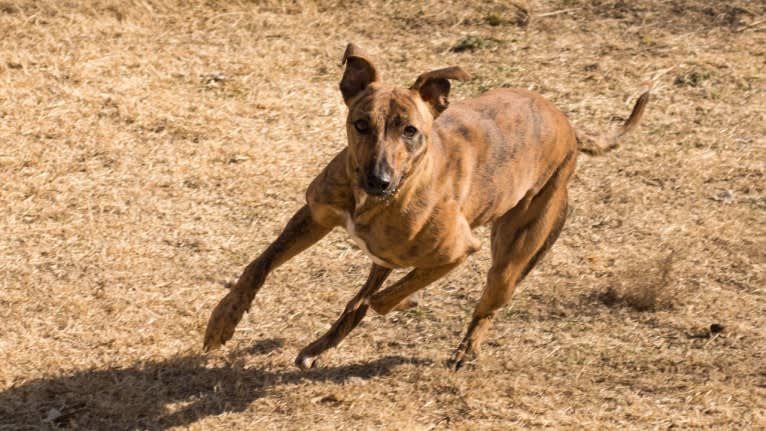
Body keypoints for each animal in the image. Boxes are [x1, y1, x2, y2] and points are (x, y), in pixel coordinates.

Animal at [202, 44, 648, 370]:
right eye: (360, 124)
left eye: (411, 131)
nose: (378, 180)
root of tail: (569, 126)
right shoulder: (315, 215)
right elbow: (259, 265)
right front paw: (223, 320)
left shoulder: (459, 250)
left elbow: (386, 297)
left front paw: (395, 302)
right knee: (368, 290)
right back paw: (319, 346)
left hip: (514, 254)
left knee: (483, 305)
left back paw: (464, 352)